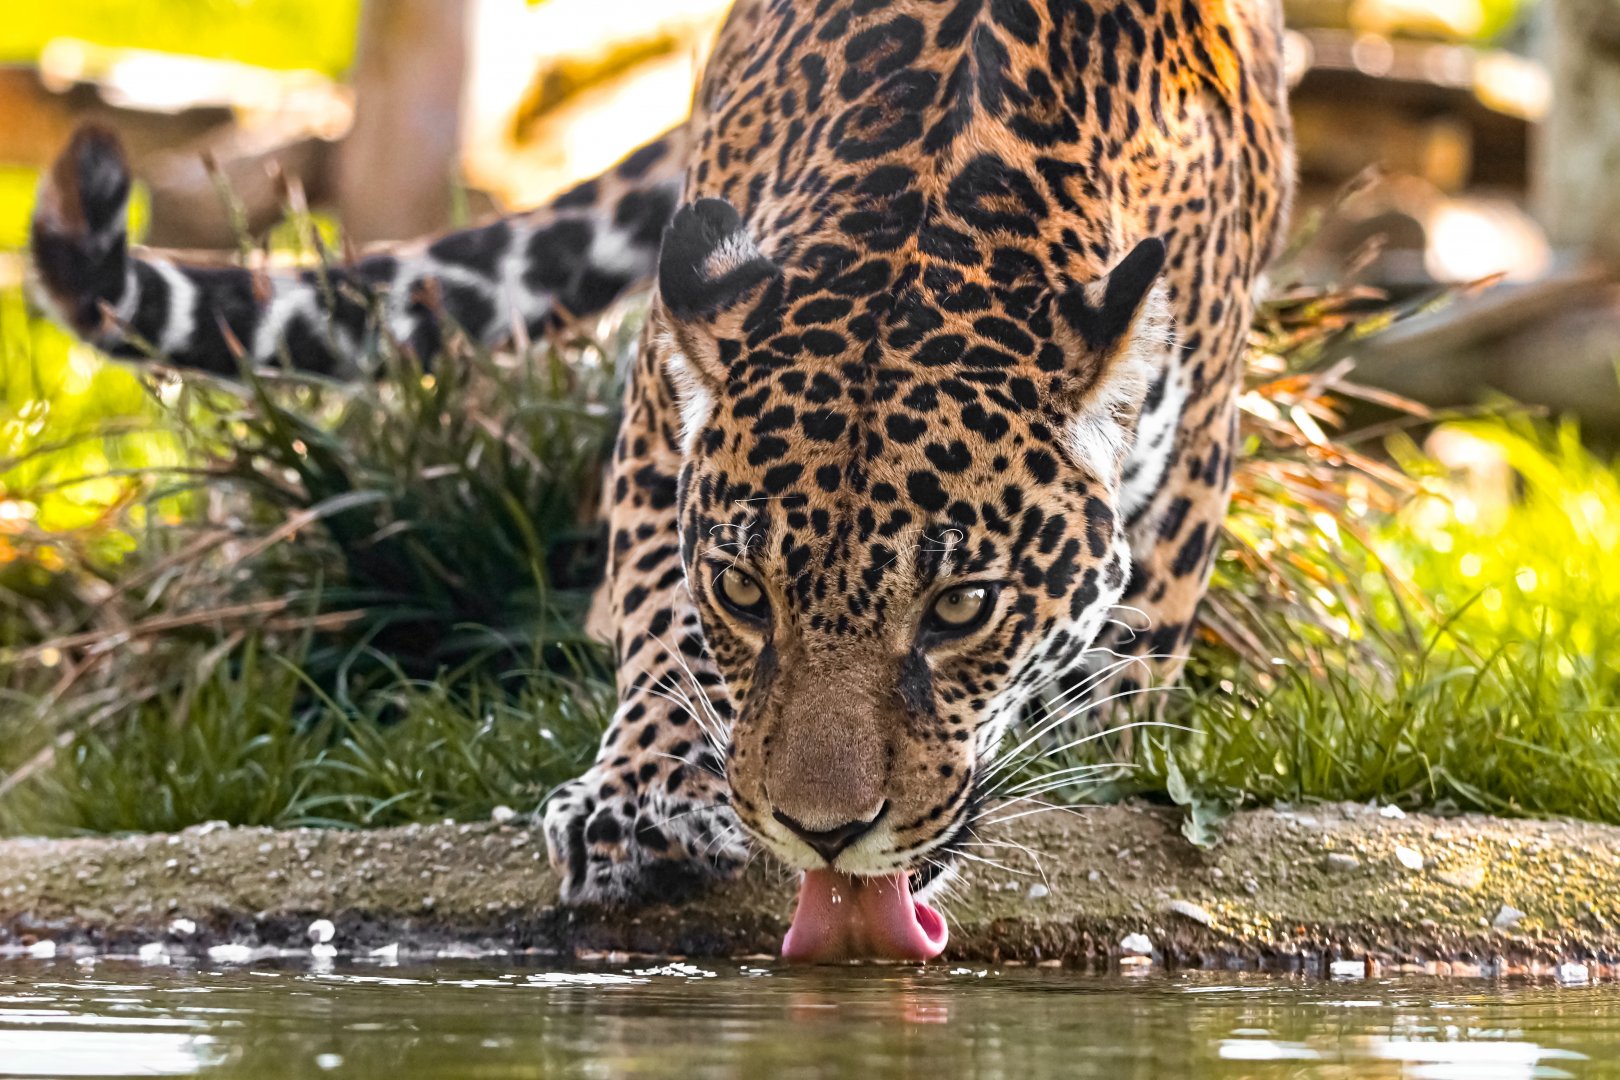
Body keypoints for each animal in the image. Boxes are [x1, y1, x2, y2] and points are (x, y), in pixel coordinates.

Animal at [31, 0, 1292, 957]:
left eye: (962, 608)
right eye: (745, 594)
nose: (822, 836)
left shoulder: (1194, 456)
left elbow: (1118, 672)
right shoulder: (657, 401)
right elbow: (655, 608)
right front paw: (642, 798)